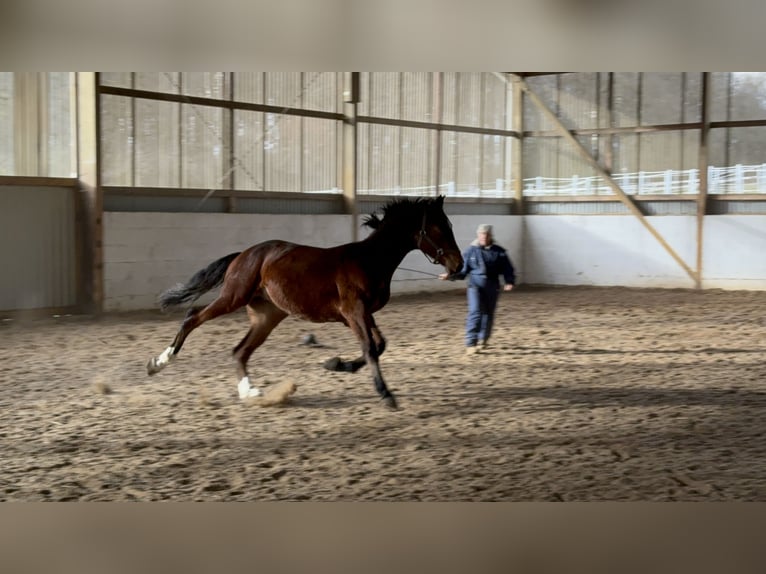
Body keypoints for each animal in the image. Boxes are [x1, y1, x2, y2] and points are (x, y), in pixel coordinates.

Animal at [147, 196, 464, 412]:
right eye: (438, 228)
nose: (458, 265)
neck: (369, 261)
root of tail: (245, 254)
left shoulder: (363, 314)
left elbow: (379, 345)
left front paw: (336, 364)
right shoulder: (354, 312)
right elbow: (371, 349)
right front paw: (386, 395)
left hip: (267, 316)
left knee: (239, 351)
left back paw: (251, 393)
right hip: (233, 297)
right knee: (193, 317)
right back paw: (159, 363)